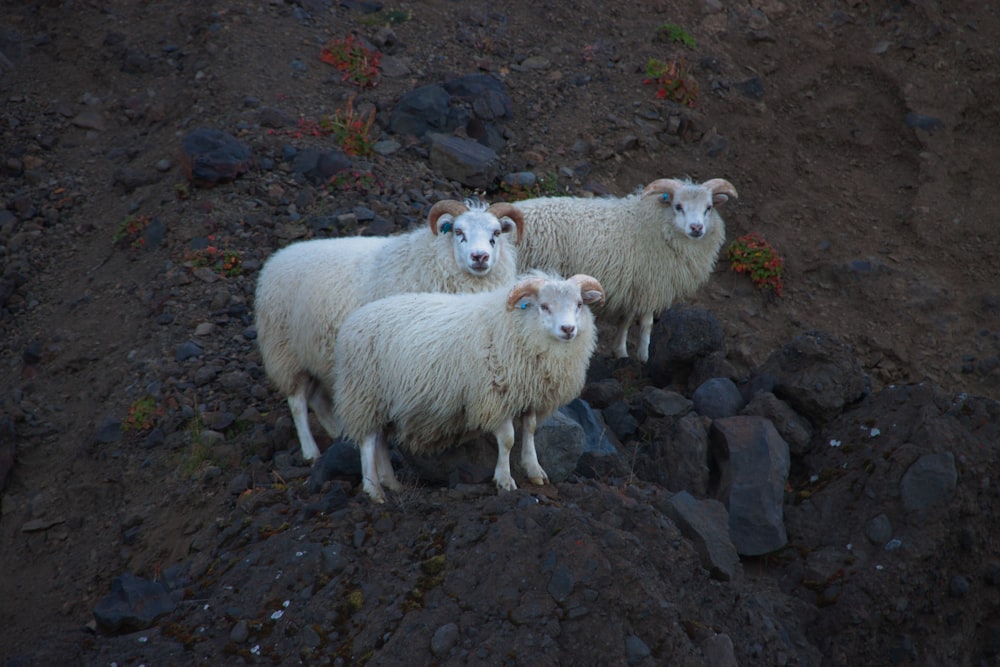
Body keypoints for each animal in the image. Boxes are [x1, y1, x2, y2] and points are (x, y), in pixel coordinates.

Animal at [254, 196, 528, 462]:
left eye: (496, 233)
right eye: (458, 231)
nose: (479, 257)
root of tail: (277, 258)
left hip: (317, 356)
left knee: (317, 398)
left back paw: (336, 432)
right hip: (285, 351)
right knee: (297, 402)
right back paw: (310, 451)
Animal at [332, 272, 604, 500]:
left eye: (579, 304)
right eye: (544, 306)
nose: (568, 329)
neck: (517, 326)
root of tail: (351, 322)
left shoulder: (529, 395)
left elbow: (530, 430)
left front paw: (534, 470)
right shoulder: (494, 396)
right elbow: (508, 439)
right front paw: (504, 480)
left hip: (384, 402)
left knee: (379, 441)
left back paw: (392, 483)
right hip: (365, 393)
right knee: (368, 442)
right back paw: (374, 490)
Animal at [516, 177, 736, 362]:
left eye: (708, 207)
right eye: (678, 206)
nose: (696, 228)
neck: (655, 224)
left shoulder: (633, 285)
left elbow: (626, 320)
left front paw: (620, 351)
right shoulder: (651, 284)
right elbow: (647, 324)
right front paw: (644, 356)